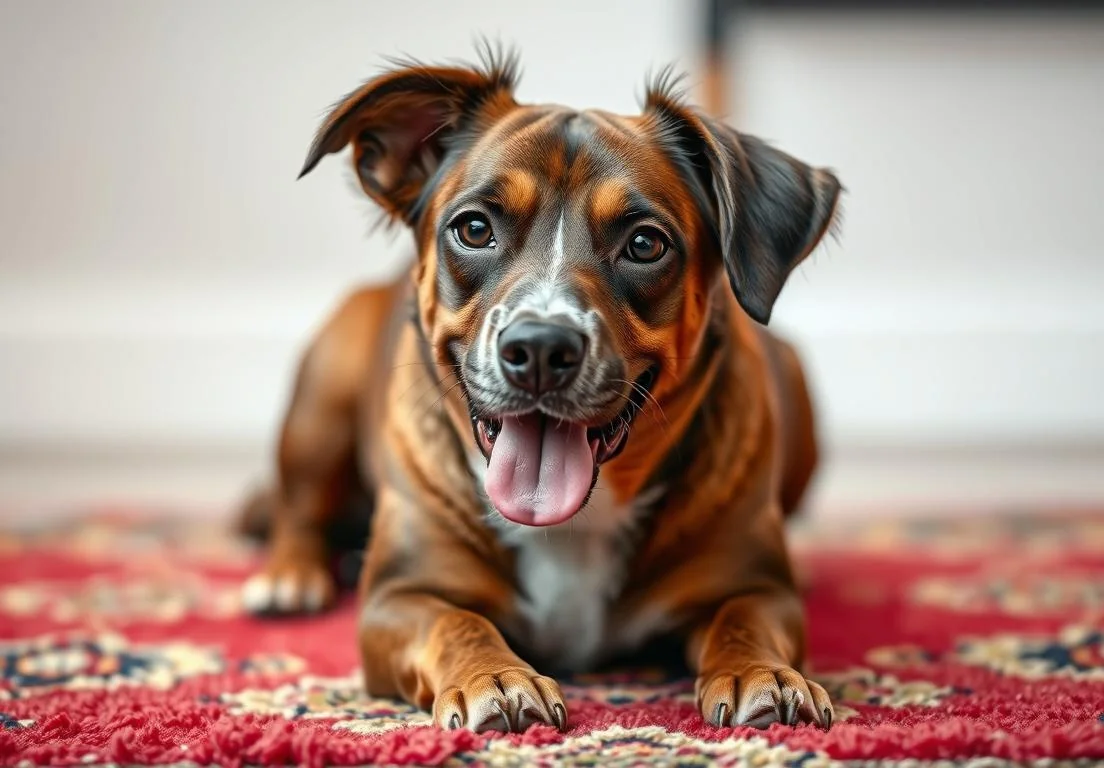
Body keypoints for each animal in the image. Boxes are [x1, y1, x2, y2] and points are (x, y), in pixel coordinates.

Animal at [241, 51, 839, 737]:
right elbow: (458, 622)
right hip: (321, 397)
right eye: (474, 229)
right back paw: (290, 577)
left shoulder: (759, 588)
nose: (540, 350)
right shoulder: (400, 598)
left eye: (645, 243)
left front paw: (763, 674)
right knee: (298, 508)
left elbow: (744, 620)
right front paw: (496, 678)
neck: (574, 521)